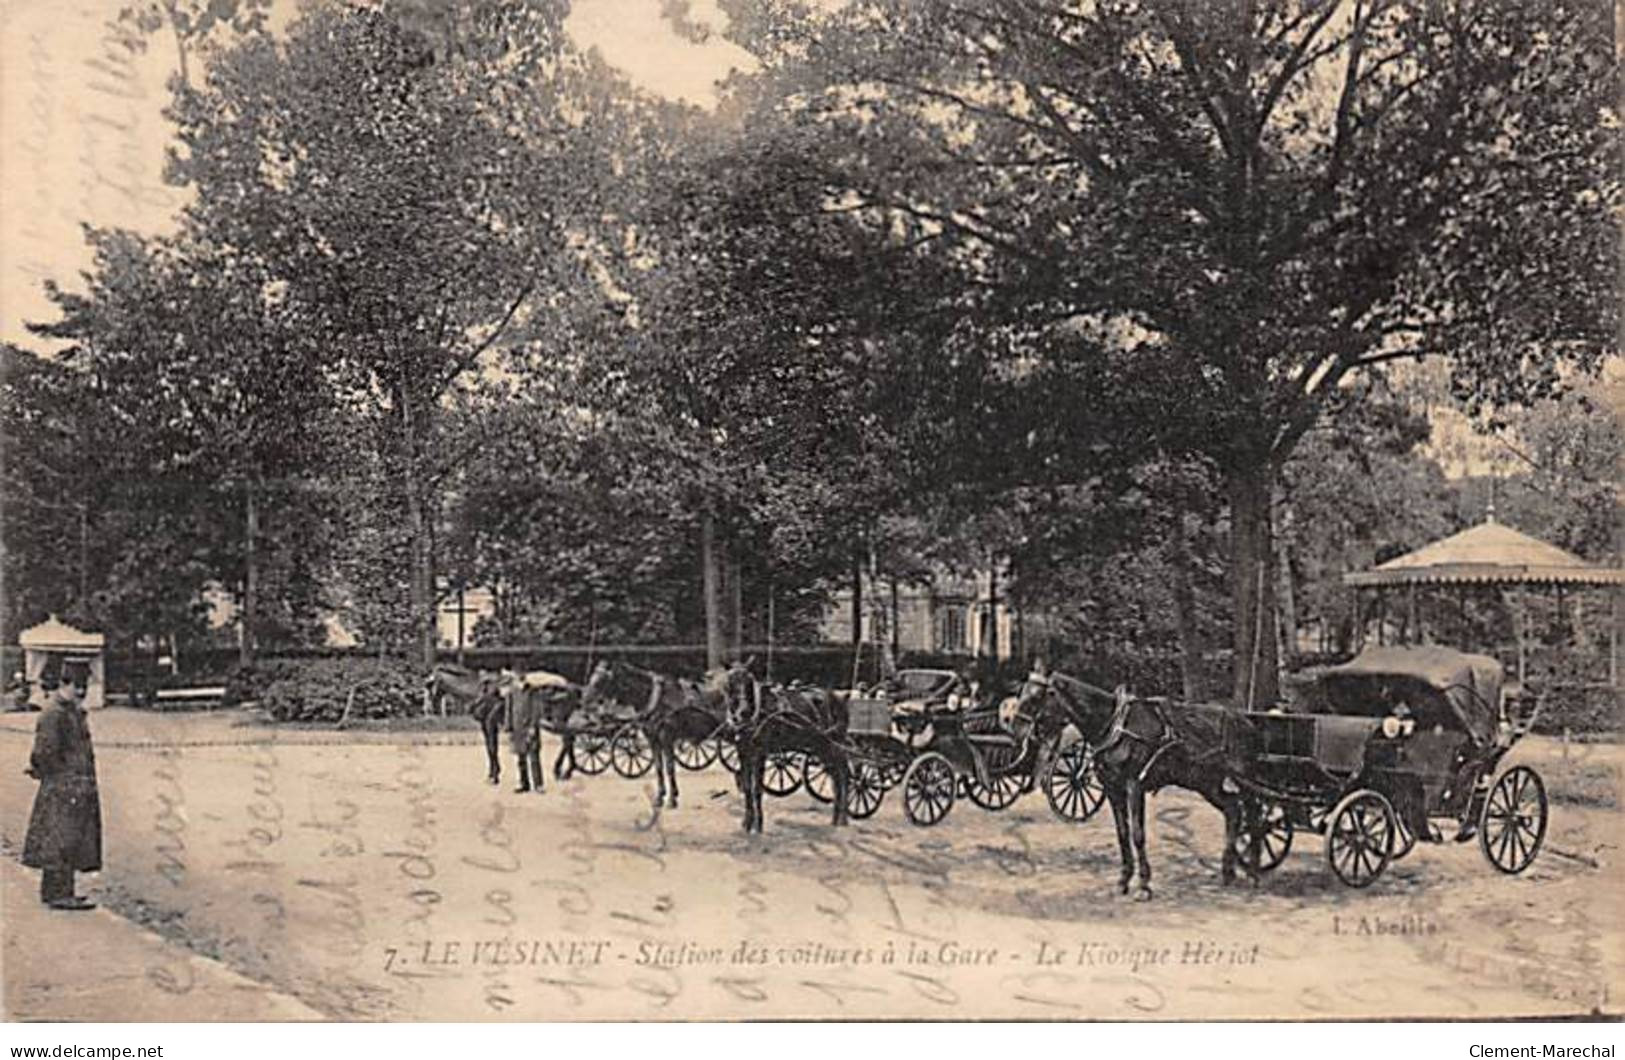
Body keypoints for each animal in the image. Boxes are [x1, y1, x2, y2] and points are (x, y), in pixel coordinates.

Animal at [578, 656, 737, 806]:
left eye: (601, 679)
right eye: (593, 675)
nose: (584, 699)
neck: (657, 700)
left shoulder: (666, 738)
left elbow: (669, 767)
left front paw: (672, 799)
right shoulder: (653, 739)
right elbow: (658, 767)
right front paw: (660, 797)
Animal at [724, 669, 851, 838]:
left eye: (749, 684)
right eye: (730, 684)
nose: (743, 712)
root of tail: (837, 697)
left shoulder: (760, 753)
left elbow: (757, 789)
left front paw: (758, 825)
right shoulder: (743, 753)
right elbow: (747, 788)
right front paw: (747, 822)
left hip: (832, 745)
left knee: (843, 773)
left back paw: (843, 817)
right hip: (820, 747)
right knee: (835, 775)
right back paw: (836, 817)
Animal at [1007, 666, 1261, 897]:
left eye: (1035, 697)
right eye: (1022, 693)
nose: (1015, 731)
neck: (1113, 726)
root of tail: (1245, 721)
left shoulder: (1134, 786)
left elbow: (1138, 834)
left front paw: (1144, 885)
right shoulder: (1112, 789)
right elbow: (1122, 833)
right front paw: (1123, 880)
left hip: (1244, 780)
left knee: (1253, 817)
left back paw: (1253, 872)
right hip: (1206, 782)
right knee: (1232, 810)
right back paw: (1228, 871)